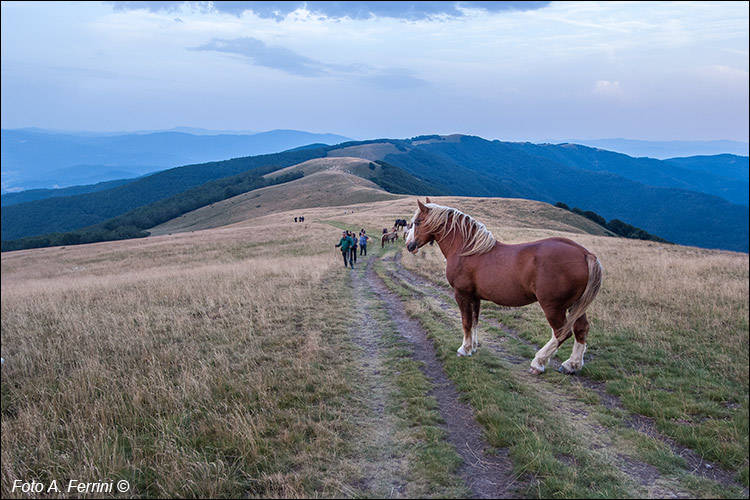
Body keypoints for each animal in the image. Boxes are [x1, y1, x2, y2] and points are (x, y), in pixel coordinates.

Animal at [406, 198, 604, 376]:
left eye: (417, 222)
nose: (409, 245)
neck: (467, 249)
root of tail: (584, 253)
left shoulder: (462, 294)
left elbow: (466, 322)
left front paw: (464, 349)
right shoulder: (475, 297)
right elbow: (475, 321)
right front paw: (473, 348)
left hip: (553, 306)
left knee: (562, 333)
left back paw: (538, 363)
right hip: (575, 305)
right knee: (581, 329)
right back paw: (571, 365)